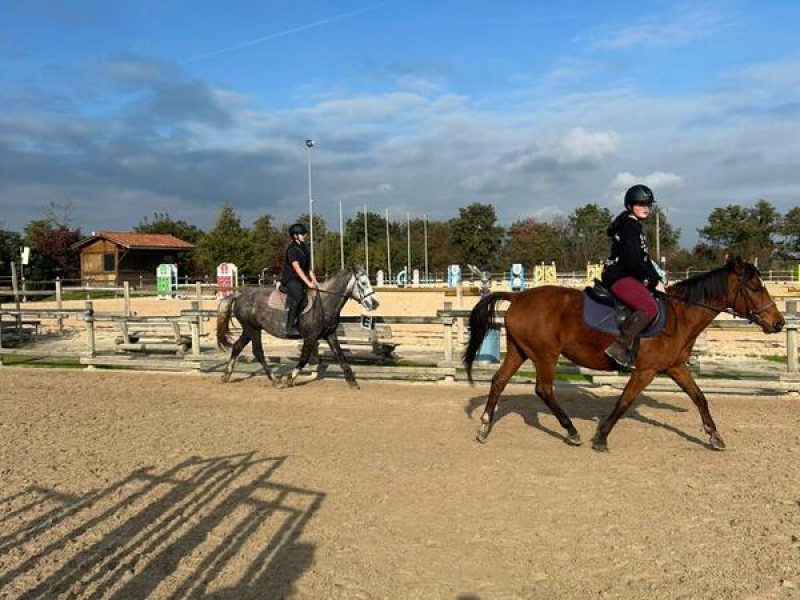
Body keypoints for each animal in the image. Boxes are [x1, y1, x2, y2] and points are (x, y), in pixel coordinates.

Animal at [217, 264, 380, 386]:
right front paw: (290, 378)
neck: (325, 302)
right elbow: (304, 358)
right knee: (258, 352)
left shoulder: (330, 335)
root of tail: (240, 295)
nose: (374, 304)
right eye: (363, 283)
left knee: (237, 347)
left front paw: (353, 382)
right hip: (253, 329)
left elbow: (340, 356)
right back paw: (275, 380)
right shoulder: (310, 337)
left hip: (248, 330)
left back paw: (226, 375)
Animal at [466, 258, 784, 450]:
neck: (680, 314)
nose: (778, 323)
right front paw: (601, 437)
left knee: (498, 381)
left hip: (519, 351)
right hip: (545, 355)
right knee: (543, 389)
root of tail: (518, 296)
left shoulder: (676, 367)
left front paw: (715, 436)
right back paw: (572, 431)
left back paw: (484, 428)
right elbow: (624, 402)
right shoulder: (645, 371)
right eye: (755, 287)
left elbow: (699, 397)